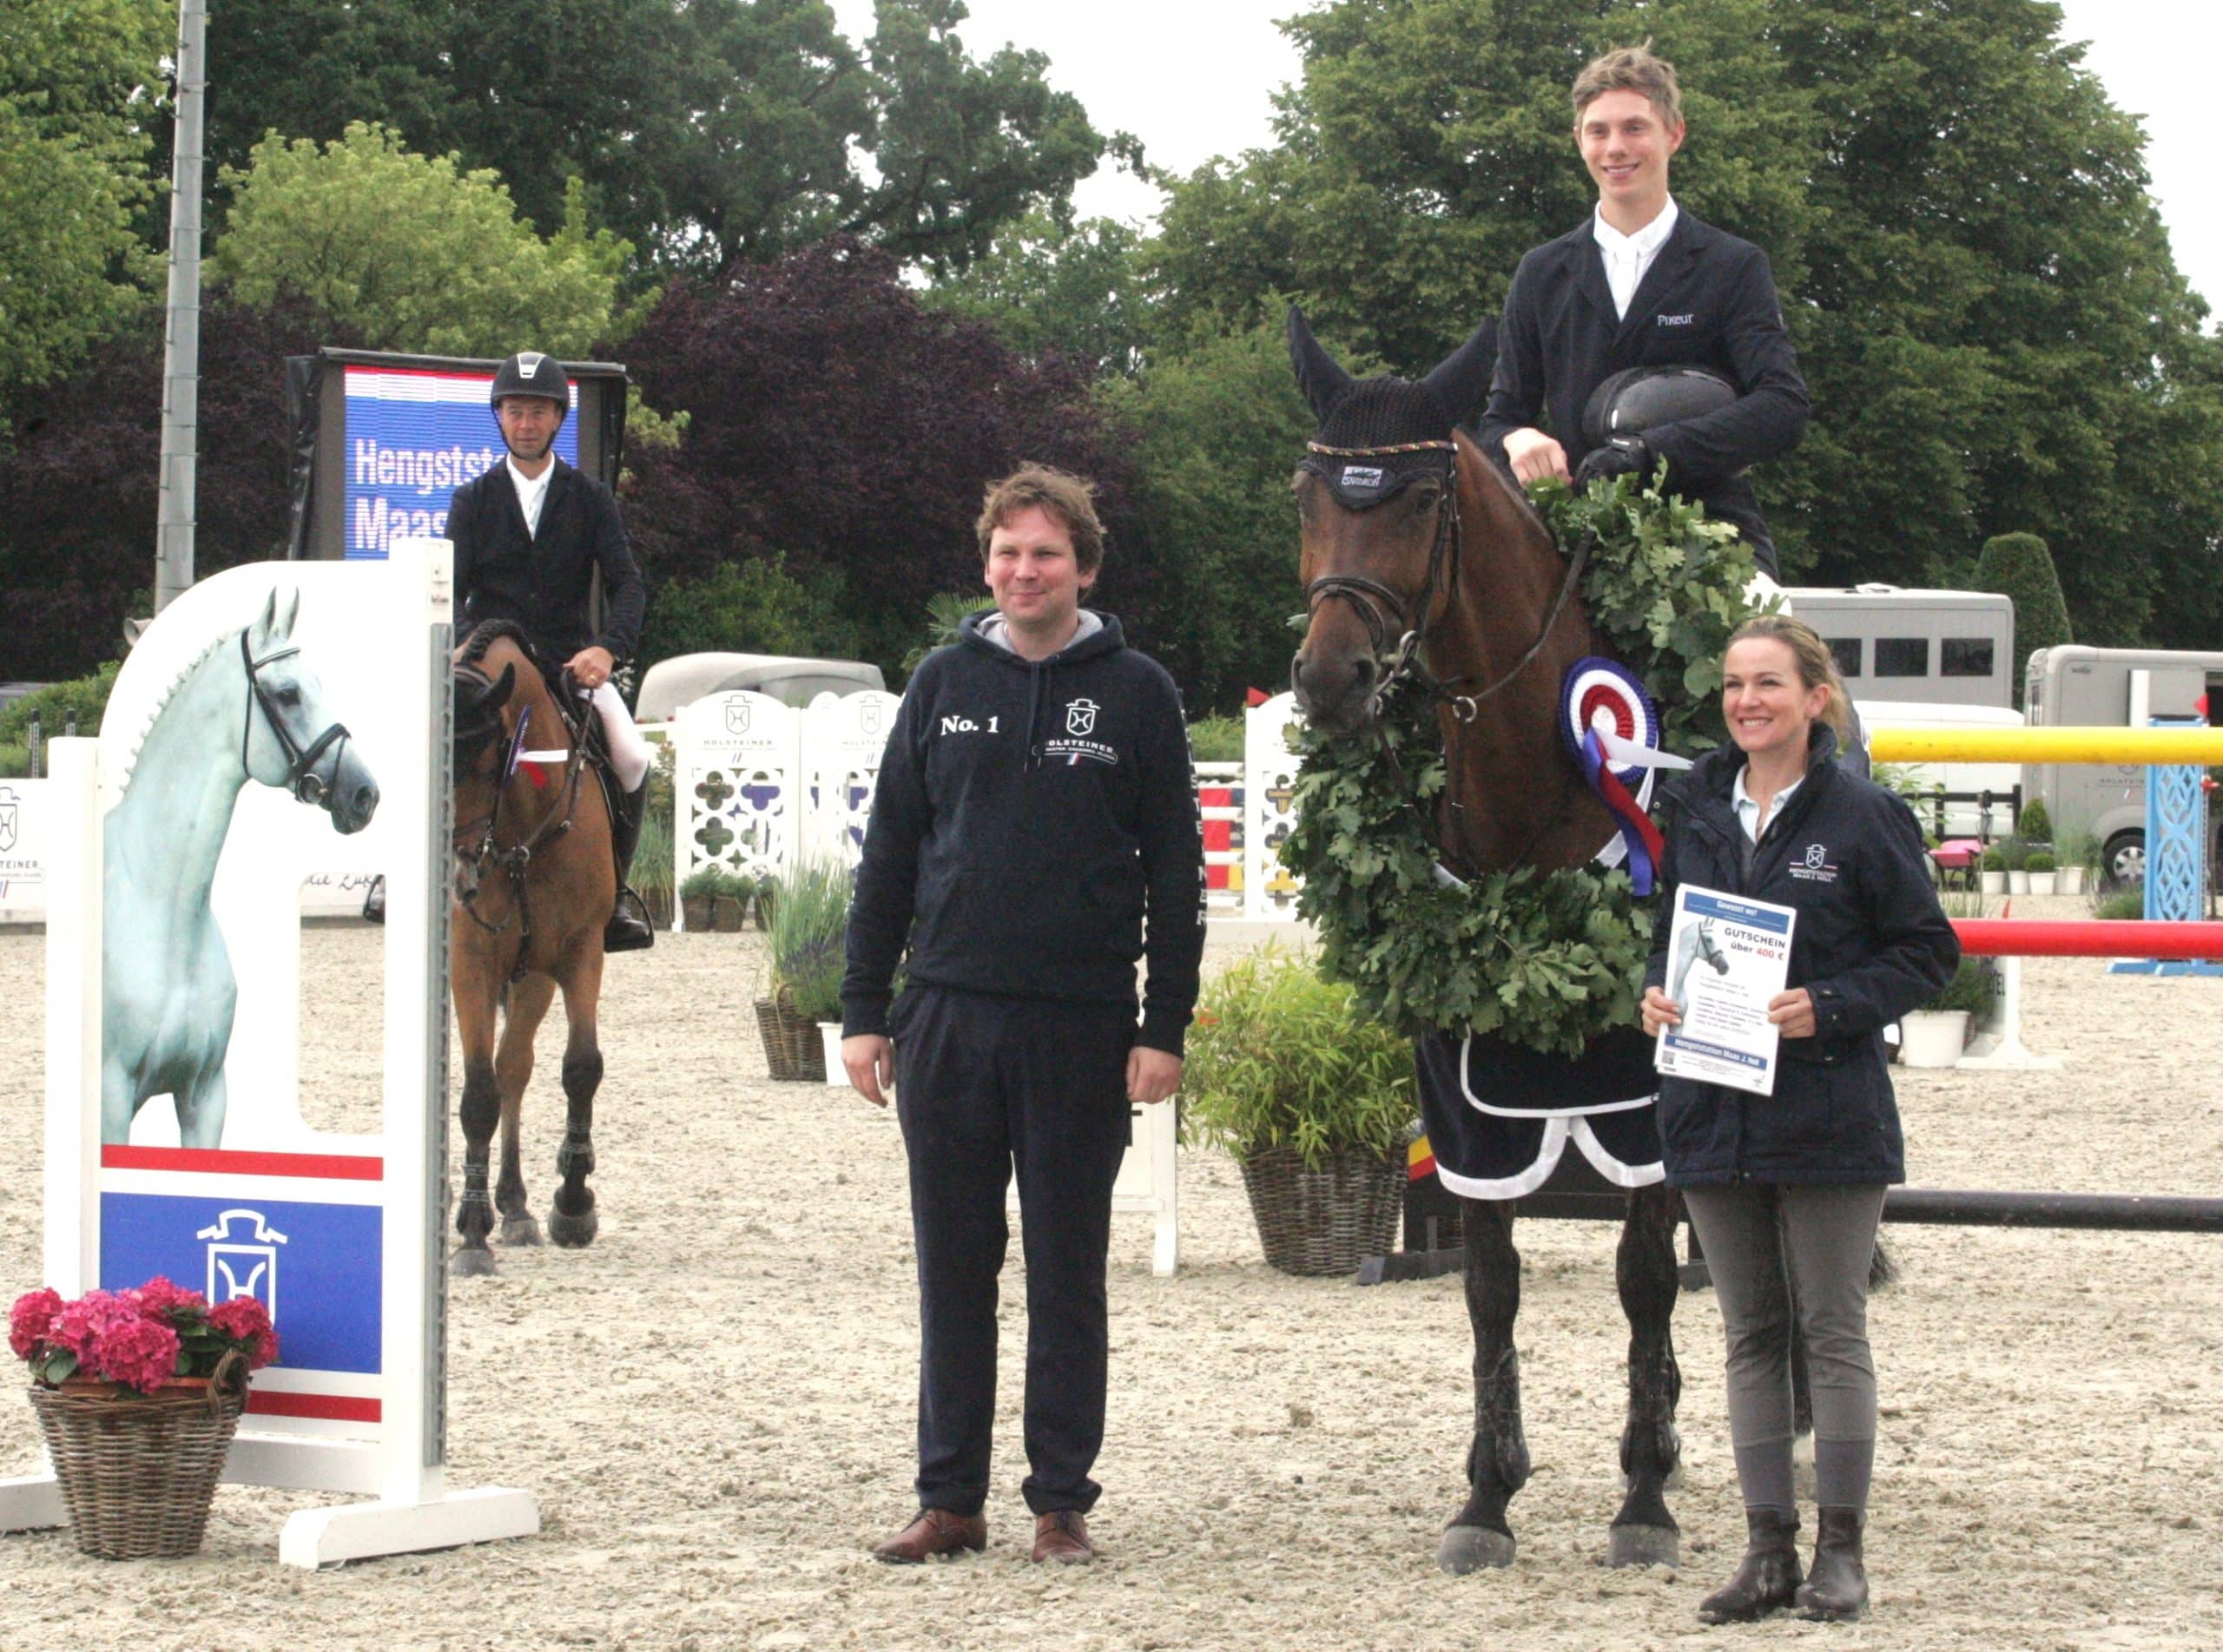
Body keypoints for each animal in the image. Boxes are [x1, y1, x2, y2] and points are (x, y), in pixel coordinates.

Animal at [446, 622, 613, 1280]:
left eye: (490, 764)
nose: (460, 881)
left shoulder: (578, 953)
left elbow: (580, 1068)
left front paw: (573, 1203)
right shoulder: (469, 962)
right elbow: (476, 1095)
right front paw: (470, 1233)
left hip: (533, 977)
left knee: (514, 1066)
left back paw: (515, 1206)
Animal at [1289, 313, 1680, 1574]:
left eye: (1418, 500)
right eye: (1307, 495)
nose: (1328, 680)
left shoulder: (1647, 1095)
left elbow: (1645, 1275)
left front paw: (1642, 1498)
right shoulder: (1457, 1087)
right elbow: (1491, 1284)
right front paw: (1487, 1496)